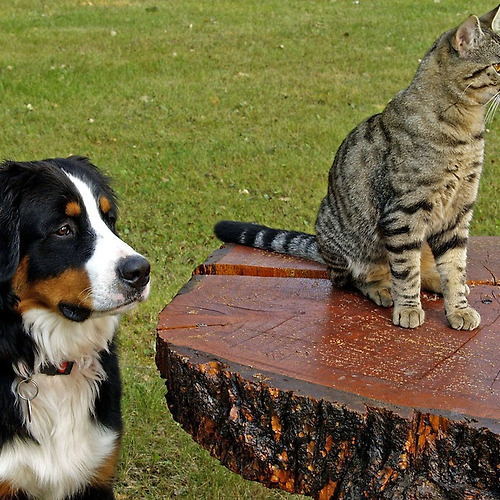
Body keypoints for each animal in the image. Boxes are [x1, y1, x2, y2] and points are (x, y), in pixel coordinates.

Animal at [213, 6, 500, 332]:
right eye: (498, 67)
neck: (465, 130)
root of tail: (321, 247)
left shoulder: (457, 212)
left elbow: (454, 266)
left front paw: (458, 308)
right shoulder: (403, 214)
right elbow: (406, 270)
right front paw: (408, 307)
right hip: (347, 242)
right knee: (353, 279)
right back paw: (383, 289)